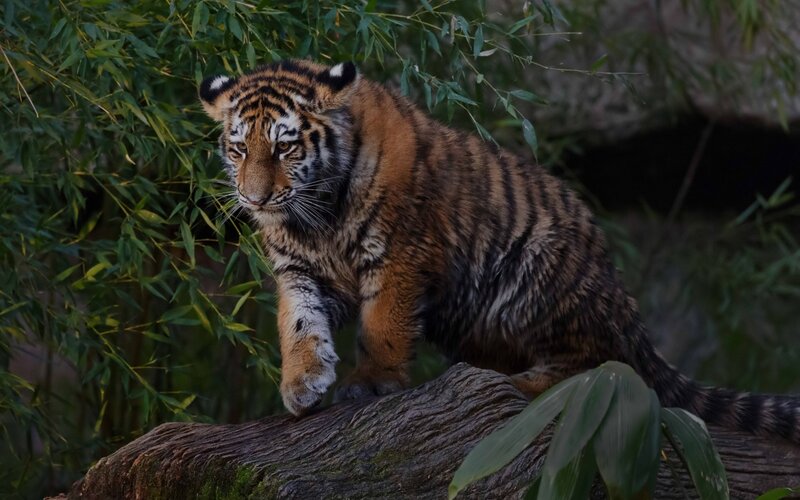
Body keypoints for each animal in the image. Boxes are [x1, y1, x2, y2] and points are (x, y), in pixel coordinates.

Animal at [199, 59, 800, 443]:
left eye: (285, 146)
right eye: (239, 148)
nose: (254, 197)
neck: (315, 216)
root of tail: (622, 301)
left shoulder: (400, 253)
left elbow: (383, 324)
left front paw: (371, 383)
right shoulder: (298, 267)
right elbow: (298, 321)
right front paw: (302, 384)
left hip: (540, 271)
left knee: (599, 367)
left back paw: (520, 383)